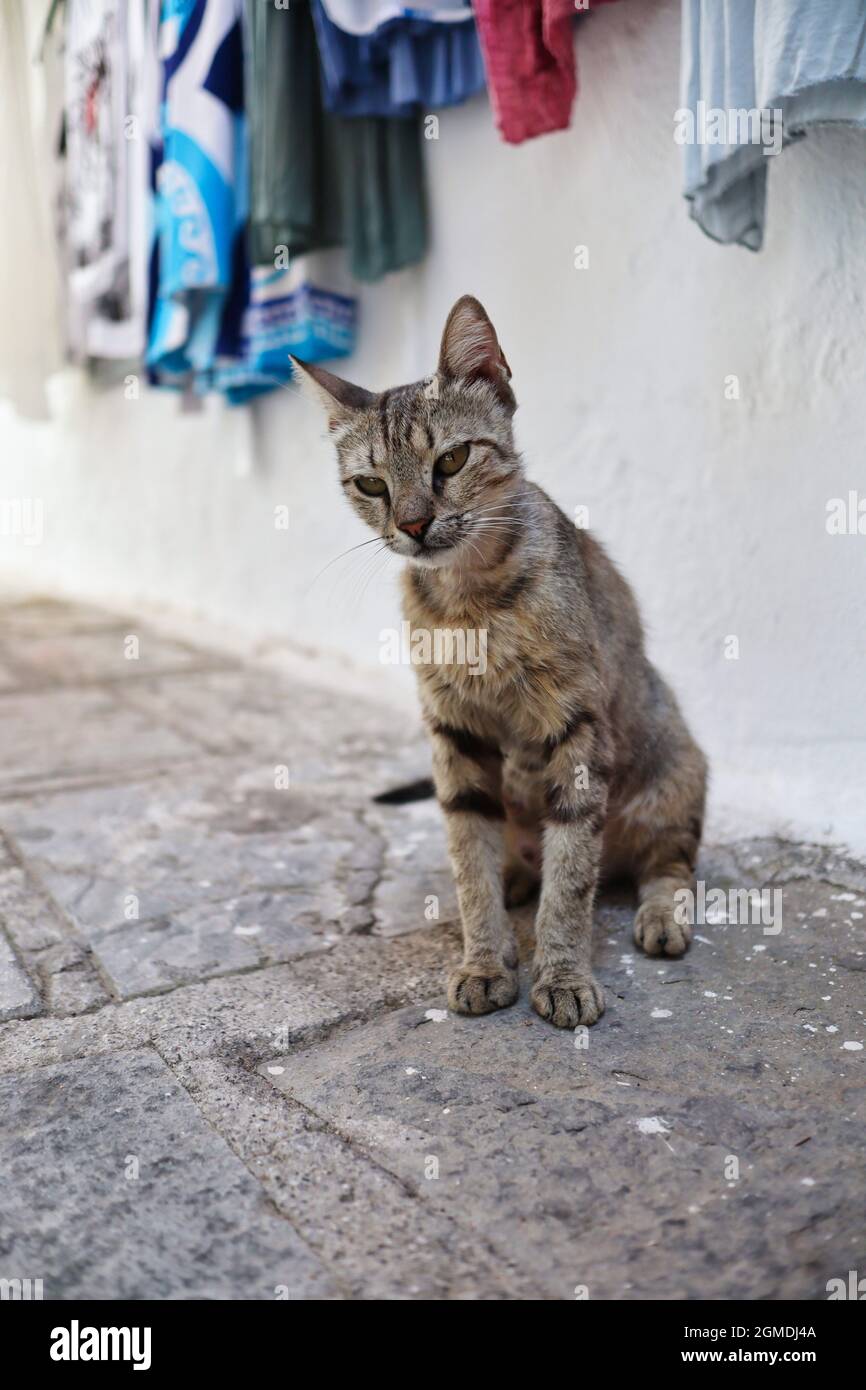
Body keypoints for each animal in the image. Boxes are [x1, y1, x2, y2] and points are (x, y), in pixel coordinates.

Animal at [294, 298, 708, 1028]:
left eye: (452, 459)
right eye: (370, 484)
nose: (413, 524)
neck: (469, 604)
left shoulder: (577, 729)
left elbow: (571, 874)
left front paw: (563, 972)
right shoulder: (453, 735)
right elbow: (469, 863)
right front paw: (485, 959)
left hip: (675, 772)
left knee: (668, 863)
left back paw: (660, 915)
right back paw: (516, 878)